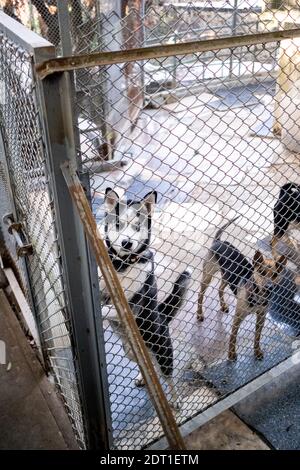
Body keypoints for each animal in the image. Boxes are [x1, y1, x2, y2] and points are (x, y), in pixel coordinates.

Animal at [99, 187, 191, 408]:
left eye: (137, 226)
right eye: (118, 224)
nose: (127, 242)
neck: (122, 266)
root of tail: (163, 316)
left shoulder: (130, 307)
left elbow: (107, 308)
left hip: (163, 354)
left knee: (167, 377)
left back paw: (174, 399)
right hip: (133, 353)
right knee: (151, 371)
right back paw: (144, 377)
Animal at [197, 219, 286, 360]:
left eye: (275, 274)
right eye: (261, 272)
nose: (269, 288)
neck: (257, 295)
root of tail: (218, 241)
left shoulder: (261, 317)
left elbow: (257, 336)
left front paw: (257, 351)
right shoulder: (238, 317)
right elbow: (233, 336)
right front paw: (231, 354)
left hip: (226, 276)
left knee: (220, 289)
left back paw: (223, 305)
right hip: (207, 276)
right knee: (200, 294)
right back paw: (200, 314)